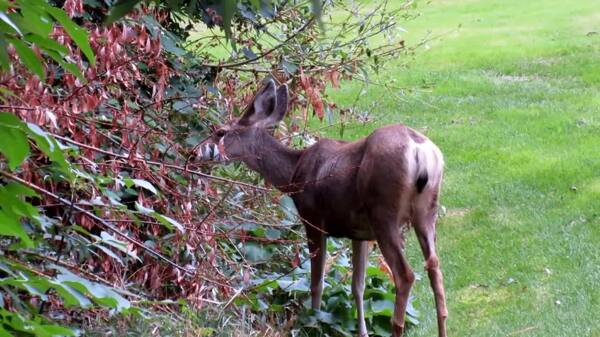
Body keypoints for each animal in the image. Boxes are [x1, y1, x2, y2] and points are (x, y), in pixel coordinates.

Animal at [199, 79, 448, 336]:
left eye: (220, 132)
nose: (196, 151)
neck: (293, 173)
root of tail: (420, 151)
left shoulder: (313, 219)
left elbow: (316, 282)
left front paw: (314, 322)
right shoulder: (359, 233)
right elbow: (357, 285)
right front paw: (362, 332)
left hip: (384, 214)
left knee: (405, 275)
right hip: (427, 212)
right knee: (435, 270)